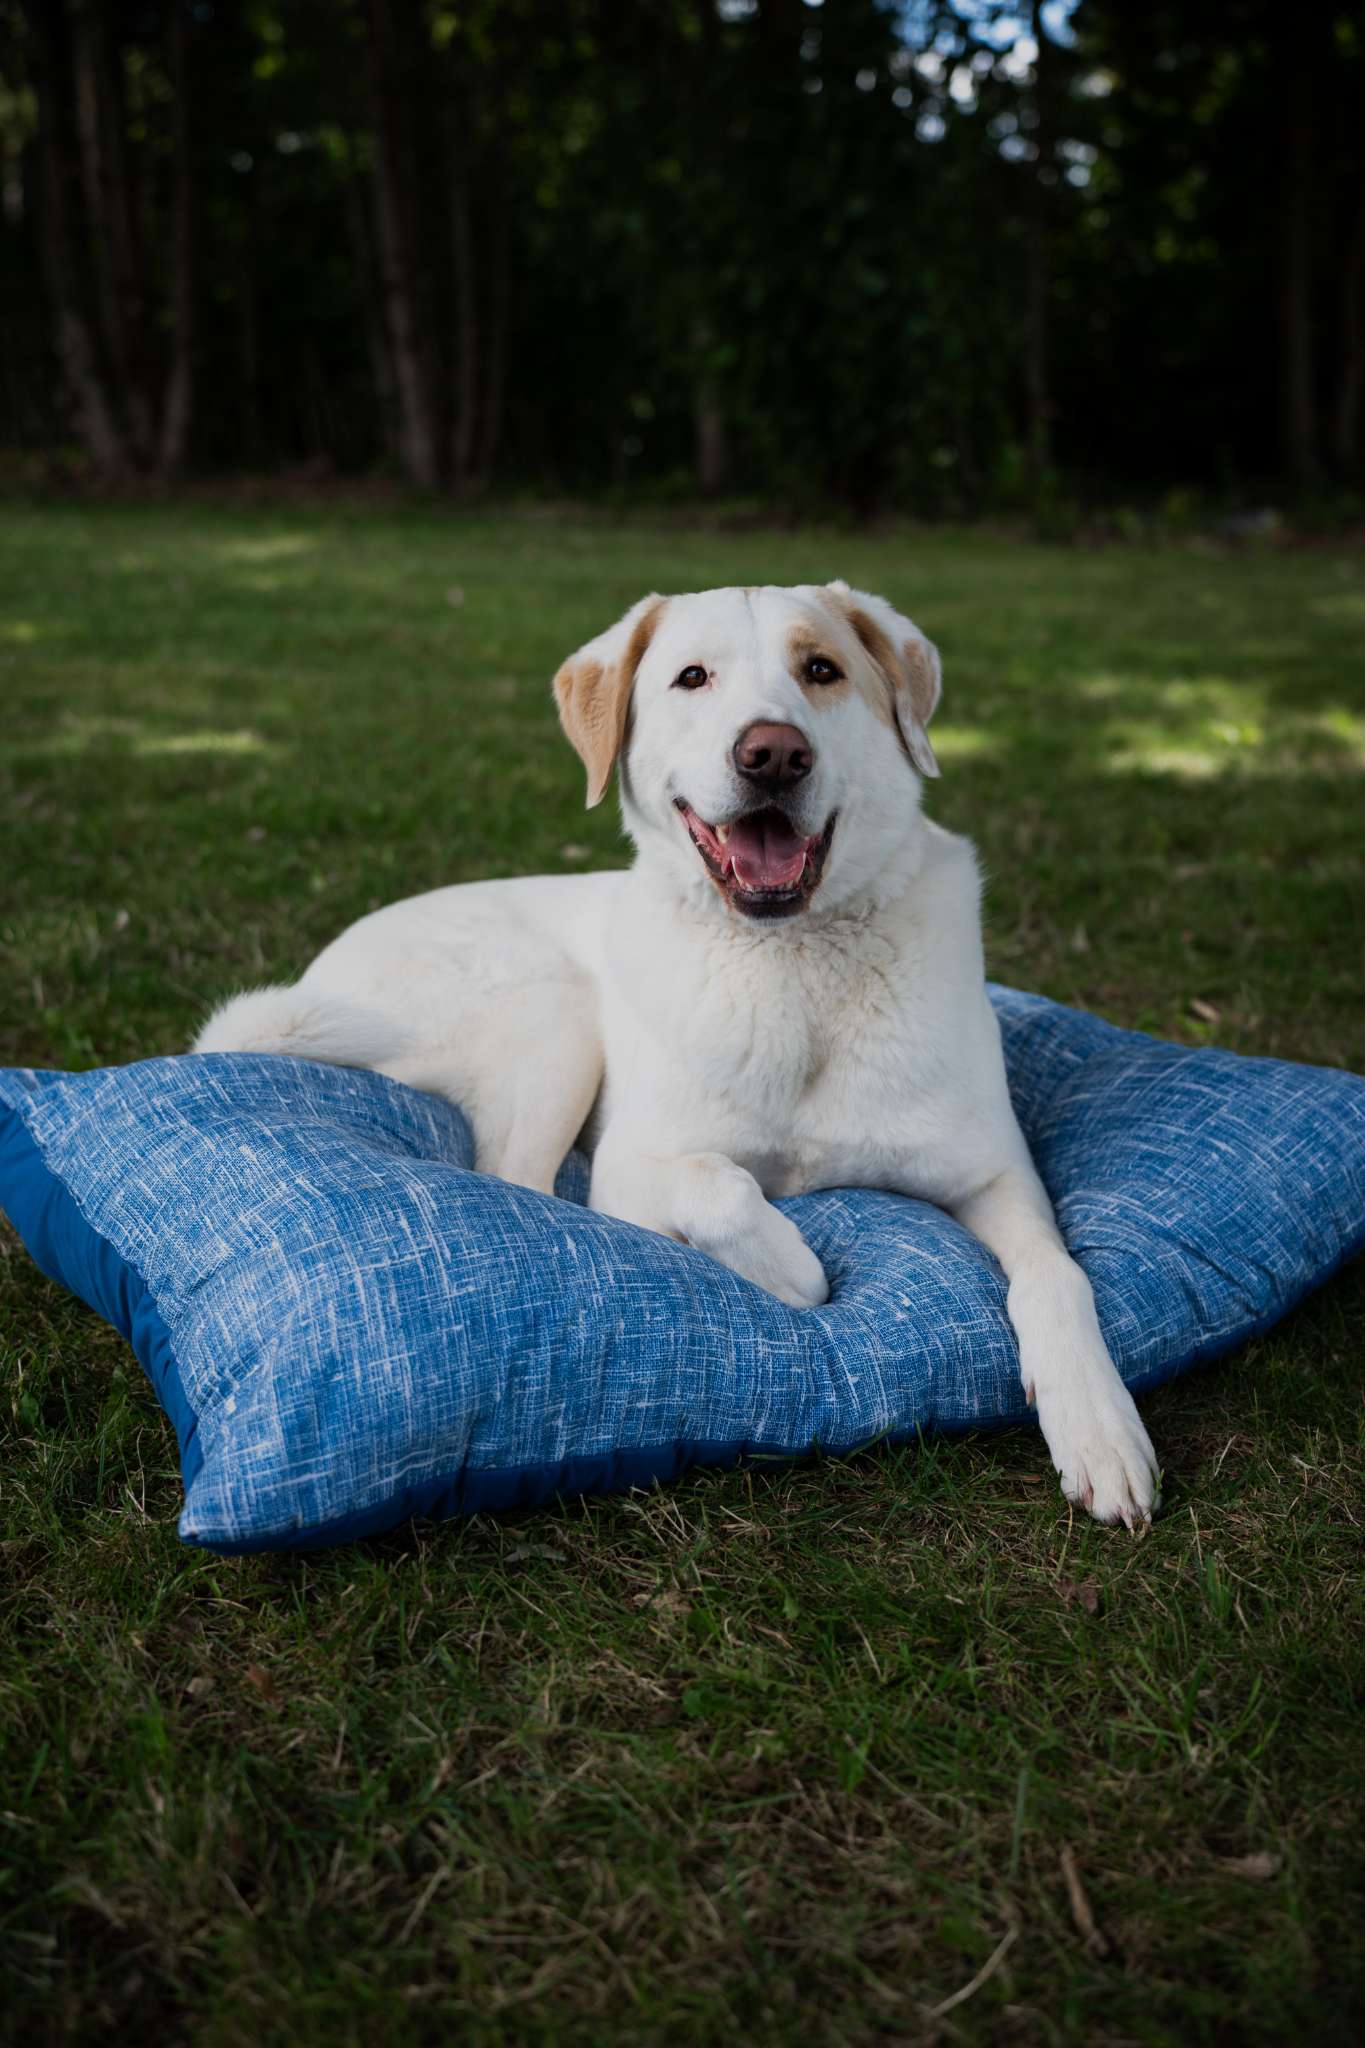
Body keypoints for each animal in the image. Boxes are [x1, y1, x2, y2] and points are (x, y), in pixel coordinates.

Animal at [195, 581, 1160, 1528]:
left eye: (821, 669)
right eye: (692, 677)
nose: (773, 755)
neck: (790, 965)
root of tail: (318, 969)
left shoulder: (996, 1174)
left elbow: (1056, 1276)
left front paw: (1099, 1427)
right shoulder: (637, 1163)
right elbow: (720, 1187)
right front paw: (797, 1274)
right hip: (555, 1012)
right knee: (523, 1187)